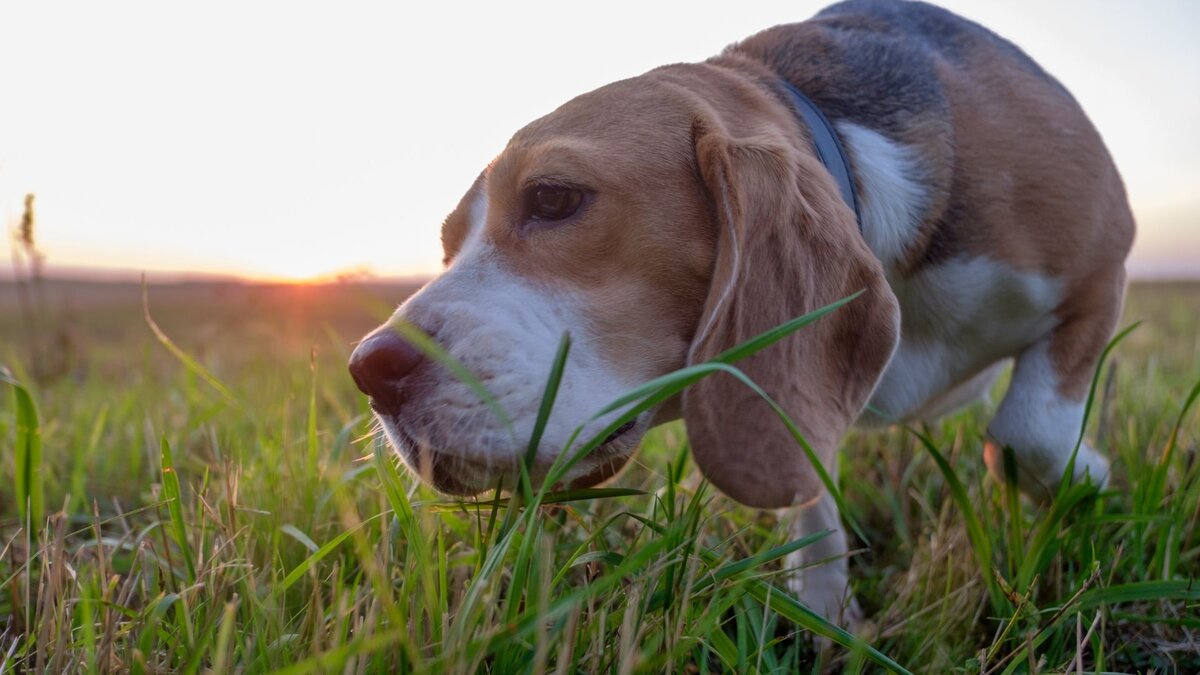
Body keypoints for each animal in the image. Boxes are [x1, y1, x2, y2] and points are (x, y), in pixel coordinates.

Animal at [350, 0, 1132, 619]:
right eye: (449, 245)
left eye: (553, 198)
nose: (370, 371)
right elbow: (809, 487)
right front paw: (826, 611)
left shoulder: (1103, 265)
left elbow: (1027, 432)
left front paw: (1089, 480)